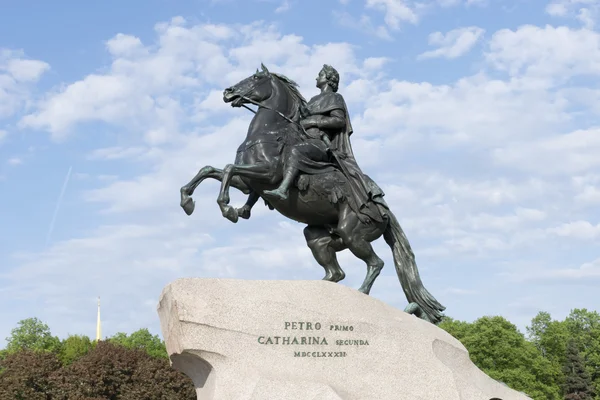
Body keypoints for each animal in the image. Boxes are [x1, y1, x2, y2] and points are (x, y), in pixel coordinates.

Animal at [178, 64, 446, 324]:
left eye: (255, 78)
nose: (228, 92)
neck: (269, 132)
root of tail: (385, 211)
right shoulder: (247, 182)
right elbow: (210, 170)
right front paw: (188, 200)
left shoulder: (266, 174)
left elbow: (227, 169)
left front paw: (227, 207)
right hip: (319, 237)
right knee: (336, 273)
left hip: (352, 234)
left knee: (375, 263)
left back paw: (361, 293)